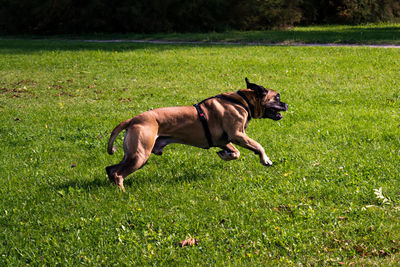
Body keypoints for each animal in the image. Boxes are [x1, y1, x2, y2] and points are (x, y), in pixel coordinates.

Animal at [106, 78, 288, 192]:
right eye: (277, 97)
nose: (286, 104)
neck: (242, 101)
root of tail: (133, 120)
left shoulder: (224, 140)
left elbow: (235, 152)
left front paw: (226, 155)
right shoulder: (238, 134)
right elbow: (258, 146)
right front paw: (265, 159)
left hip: (133, 155)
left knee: (111, 169)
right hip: (140, 154)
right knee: (118, 174)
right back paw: (122, 191)